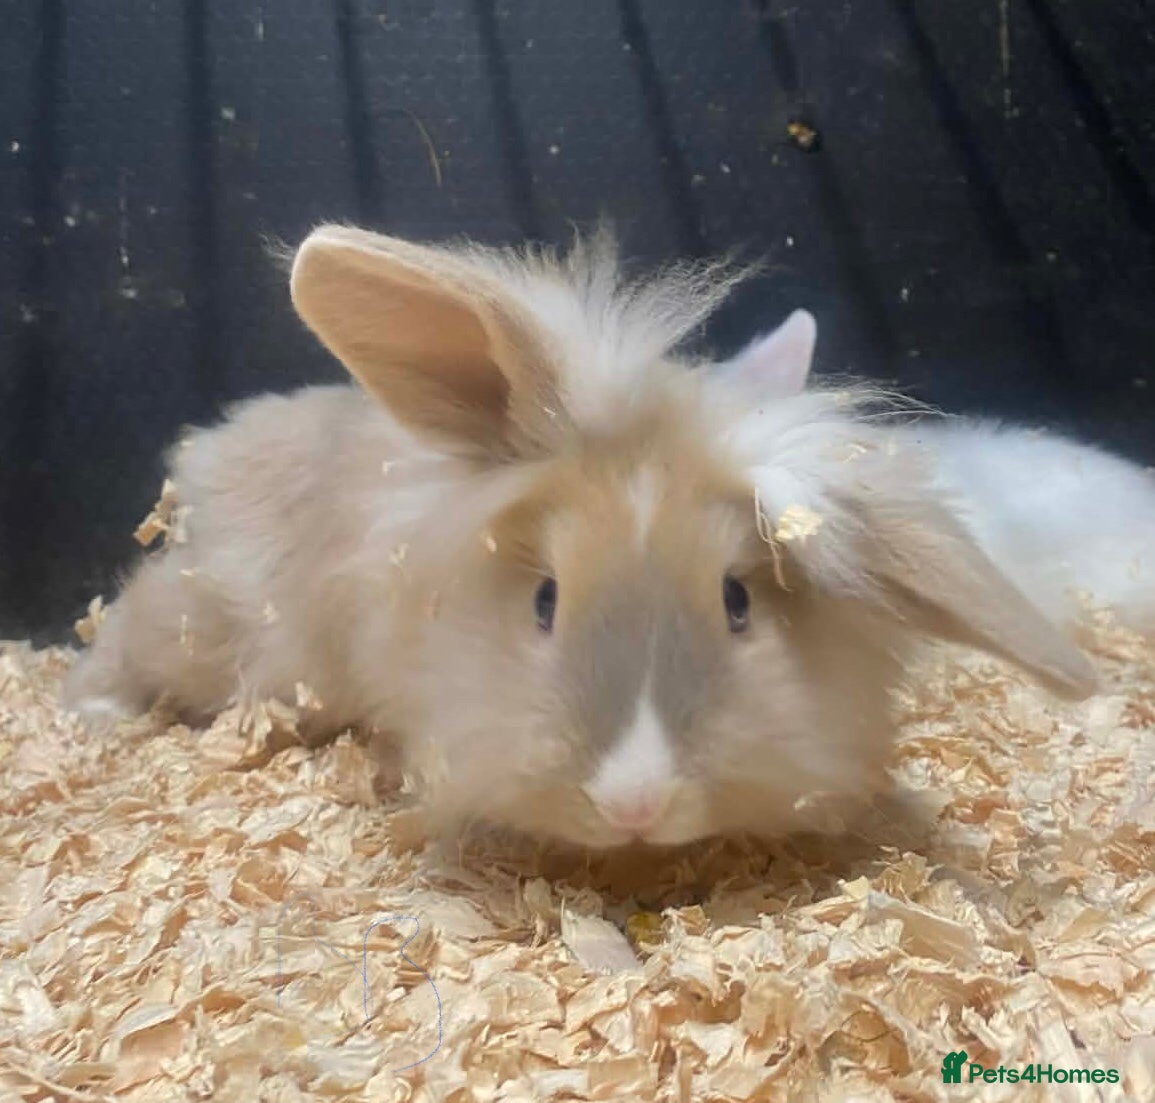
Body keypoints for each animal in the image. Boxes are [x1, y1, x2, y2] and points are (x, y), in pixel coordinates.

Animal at [64, 225, 1101, 849]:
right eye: (544, 599)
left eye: (737, 600)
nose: (635, 805)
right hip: (216, 631)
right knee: (123, 627)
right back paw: (91, 714)